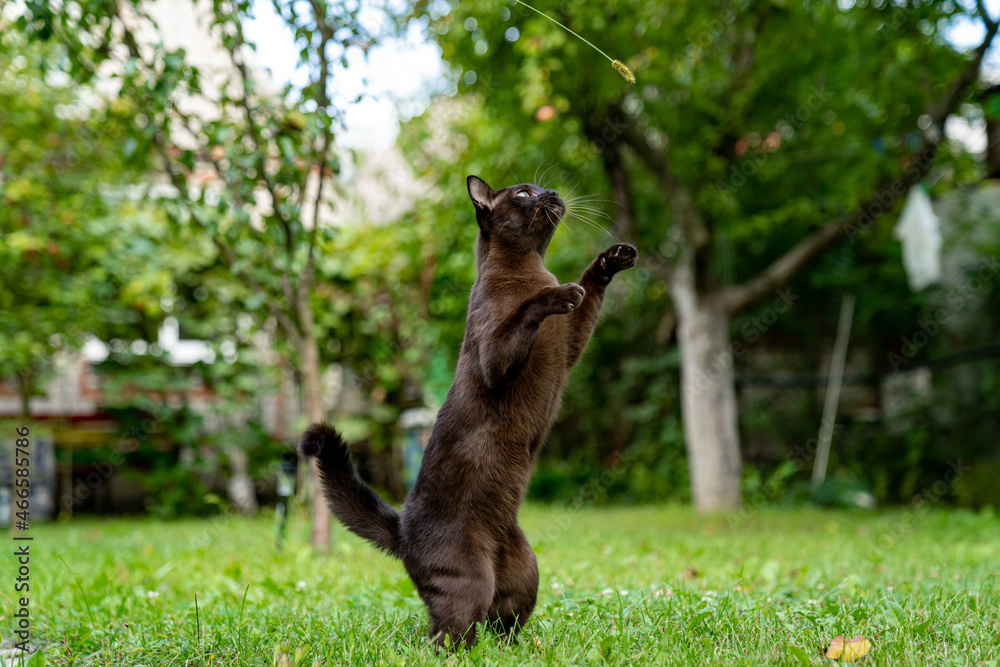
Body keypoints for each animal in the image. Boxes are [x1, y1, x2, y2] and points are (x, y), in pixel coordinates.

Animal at [298, 175, 640, 648]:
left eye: (542, 188)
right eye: (524, 194)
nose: (551, 193)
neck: (533, 270)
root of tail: (403, 531)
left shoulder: (572, 344)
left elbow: (590, 289)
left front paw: (615, 258)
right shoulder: (494, 356)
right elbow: (530, 309)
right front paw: (559, 292)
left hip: (525, 573)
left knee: (501, 622)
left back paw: (522, 650)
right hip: (470, 582)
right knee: (443, 636)